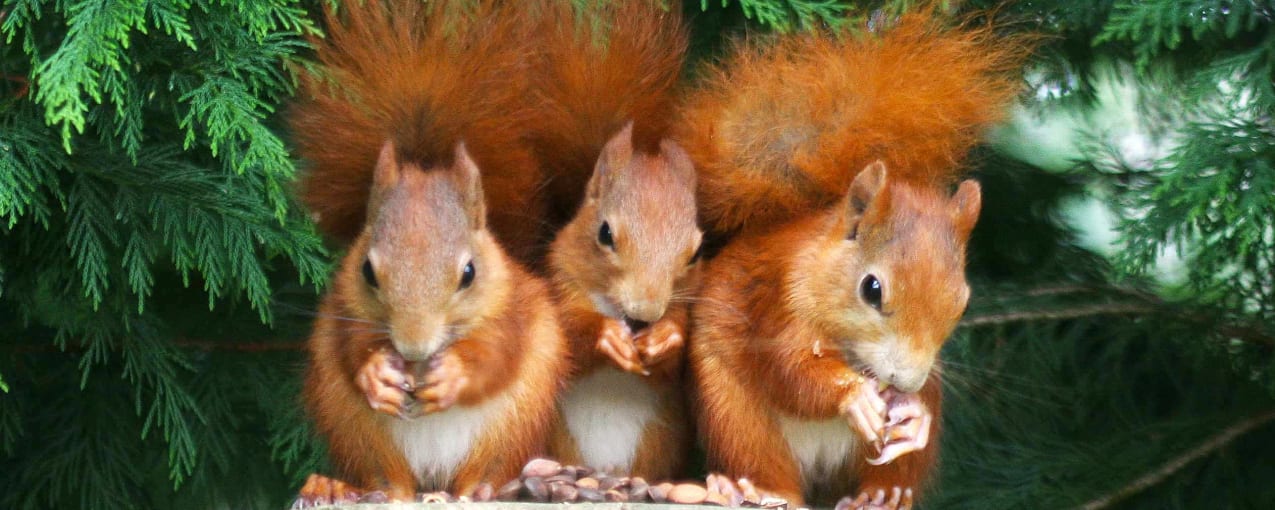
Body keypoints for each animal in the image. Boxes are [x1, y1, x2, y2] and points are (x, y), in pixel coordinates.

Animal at [291, 0, 571, 502]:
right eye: (367, 271)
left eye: (469, 273)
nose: (413, 347)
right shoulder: (344, 308)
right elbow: (349, 346)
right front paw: (375, 373)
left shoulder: (514, 310)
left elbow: (498, 353)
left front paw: (453, 375)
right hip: (353, 427)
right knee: (385, 477)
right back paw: (343, 486)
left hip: (515, 423)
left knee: (485, 469)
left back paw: (484, 488)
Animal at [532, 0, 703, 479]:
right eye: (604, 233)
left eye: (695, 253)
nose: (645, 314)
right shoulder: (559, 282)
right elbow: (569, 336)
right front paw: (606, 336)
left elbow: (676, 360)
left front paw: (666, 336)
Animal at [678, 11, 1025, 510]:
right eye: (872, 289)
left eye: (961, 301)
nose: (906, 381)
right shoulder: (777, 301)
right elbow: (790, 371)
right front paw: (854, 397)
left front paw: (915, 414)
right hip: (734, 415)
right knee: (764, 462)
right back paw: (754, 489)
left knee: (889, 475)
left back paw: (883, 494)